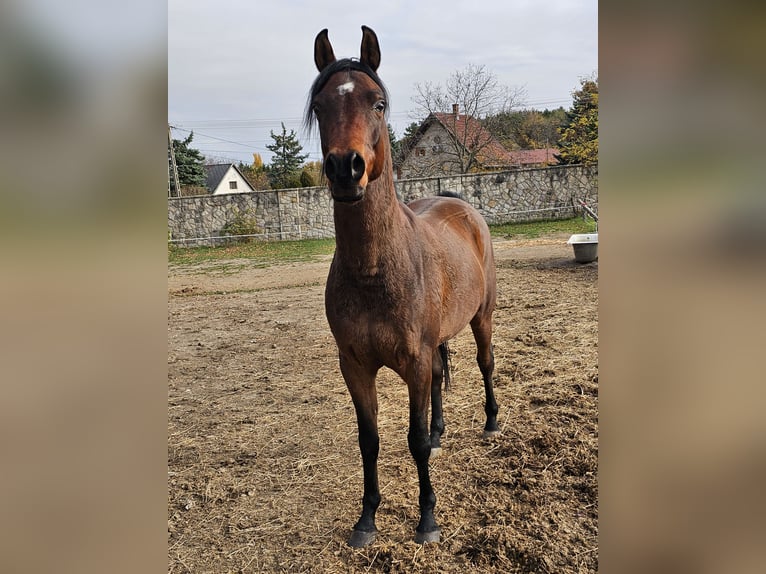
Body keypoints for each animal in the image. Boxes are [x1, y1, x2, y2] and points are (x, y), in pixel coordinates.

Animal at [306, 26, 499, 547]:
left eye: (377, 103)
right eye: (320, 105)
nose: (345, 168)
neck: (374, 273)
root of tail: (461, 204)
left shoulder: (411, 359)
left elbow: (411, 442)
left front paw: (427, 518)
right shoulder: (354, 366)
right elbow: (369, 440)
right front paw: (366, 518)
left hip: (482, 317)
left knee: (485, 363)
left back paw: (492, 421)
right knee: (437, 378)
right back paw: (439, 430)